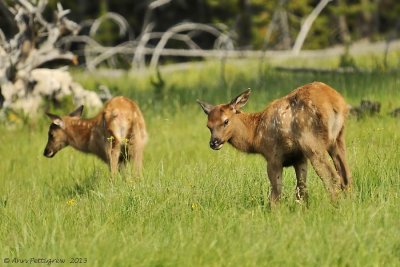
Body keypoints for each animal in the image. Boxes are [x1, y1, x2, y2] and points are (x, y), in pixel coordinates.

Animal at [198, 81, 352, 203]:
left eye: (226, 121)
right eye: (208, 126)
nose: (214, 142)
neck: (256, 137)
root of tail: (335, 102)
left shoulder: (273, 155)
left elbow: (275, 193)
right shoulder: (299, 158)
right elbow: (301, 190)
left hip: (311, 141)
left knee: (332, 178)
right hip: (338, 138)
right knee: (346, 176)